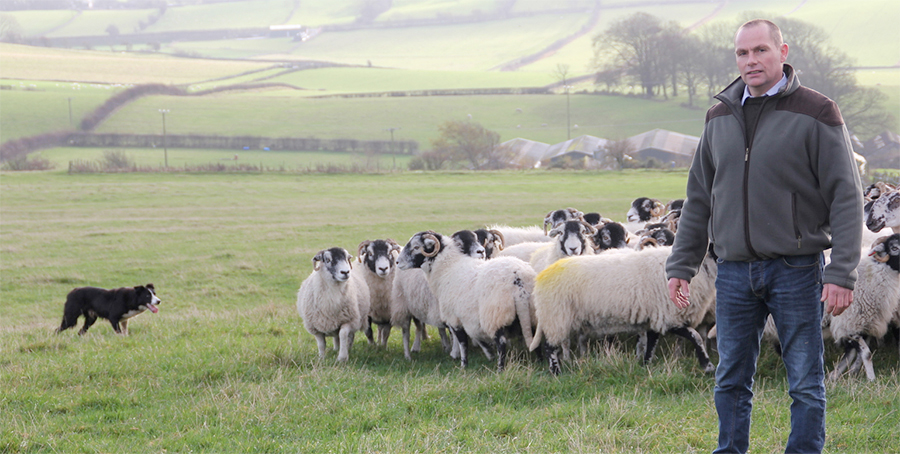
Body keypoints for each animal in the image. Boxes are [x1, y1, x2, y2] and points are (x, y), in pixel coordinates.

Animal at [396, 231, 536, 372]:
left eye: (416, 247)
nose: (397, 262)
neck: (447, 268)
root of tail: (517, 278)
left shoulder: (454, 318)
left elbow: (462, 342)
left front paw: (463, 364)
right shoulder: (468, 318)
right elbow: (475, 337)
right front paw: (489, 355)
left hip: (495, 315)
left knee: (501, 343)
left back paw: (500, 369)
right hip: (531, 313)